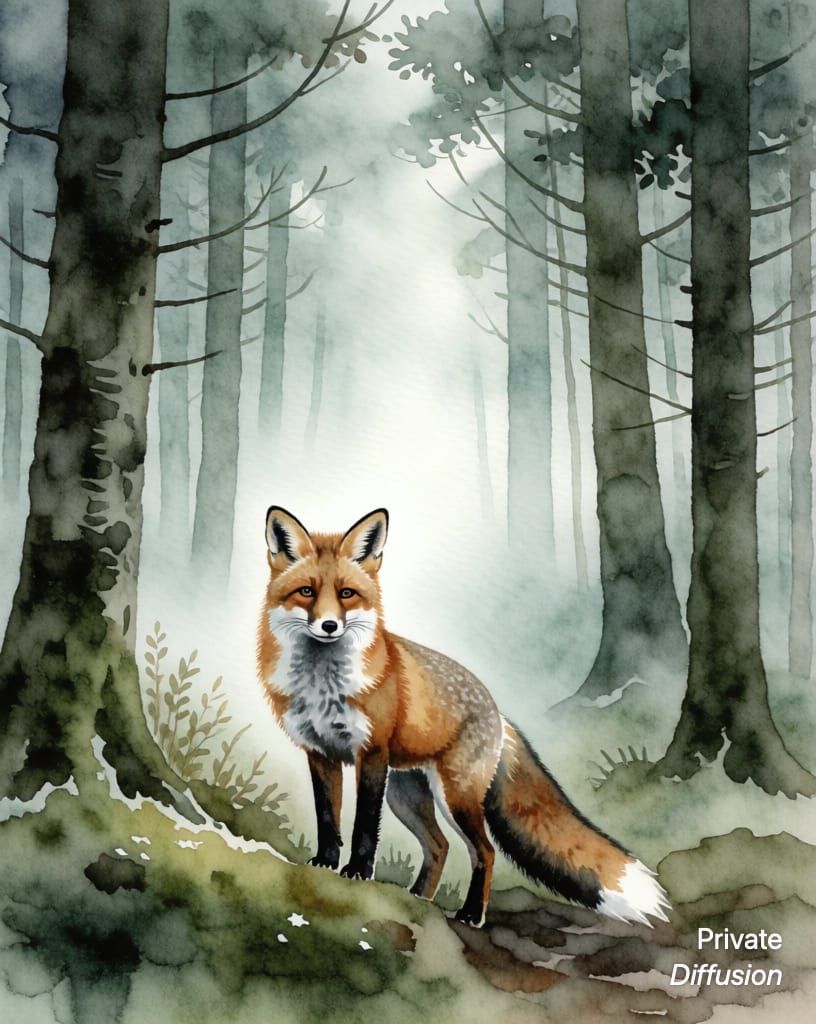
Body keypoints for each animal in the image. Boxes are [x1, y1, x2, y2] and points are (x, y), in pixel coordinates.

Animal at [257, 506, 670, 928]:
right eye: (307, 591)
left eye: (346, 594)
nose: (329, 626)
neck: (322, 685)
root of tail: (499, 713)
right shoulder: (319, 753)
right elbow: (327, 818)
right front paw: (324, 863)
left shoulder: (369, 754)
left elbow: (363, 828)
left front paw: (357, 871)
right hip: (406, 795)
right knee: (439, 846)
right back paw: (420, 900)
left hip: (454, 796)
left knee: (483, 851)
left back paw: (471, 913)